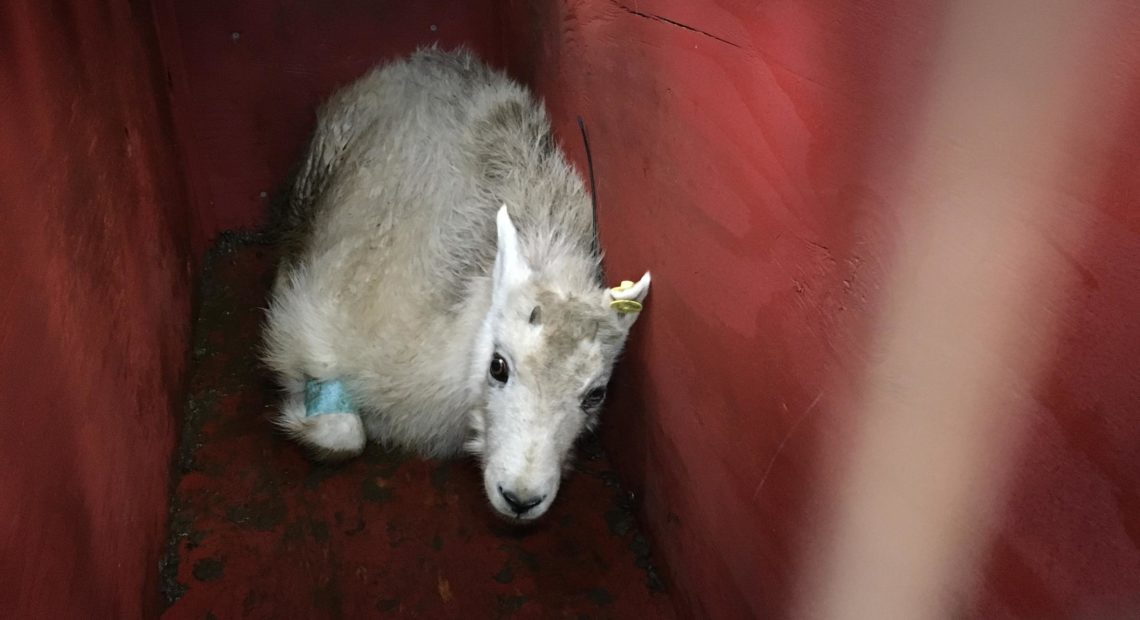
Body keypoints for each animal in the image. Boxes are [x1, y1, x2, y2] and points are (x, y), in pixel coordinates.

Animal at [261, 48, 652, 519]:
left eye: (595, 394)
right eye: (498, 367)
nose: (521, 498)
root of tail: (424, 60)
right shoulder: (310, 326)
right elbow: (343, 436)